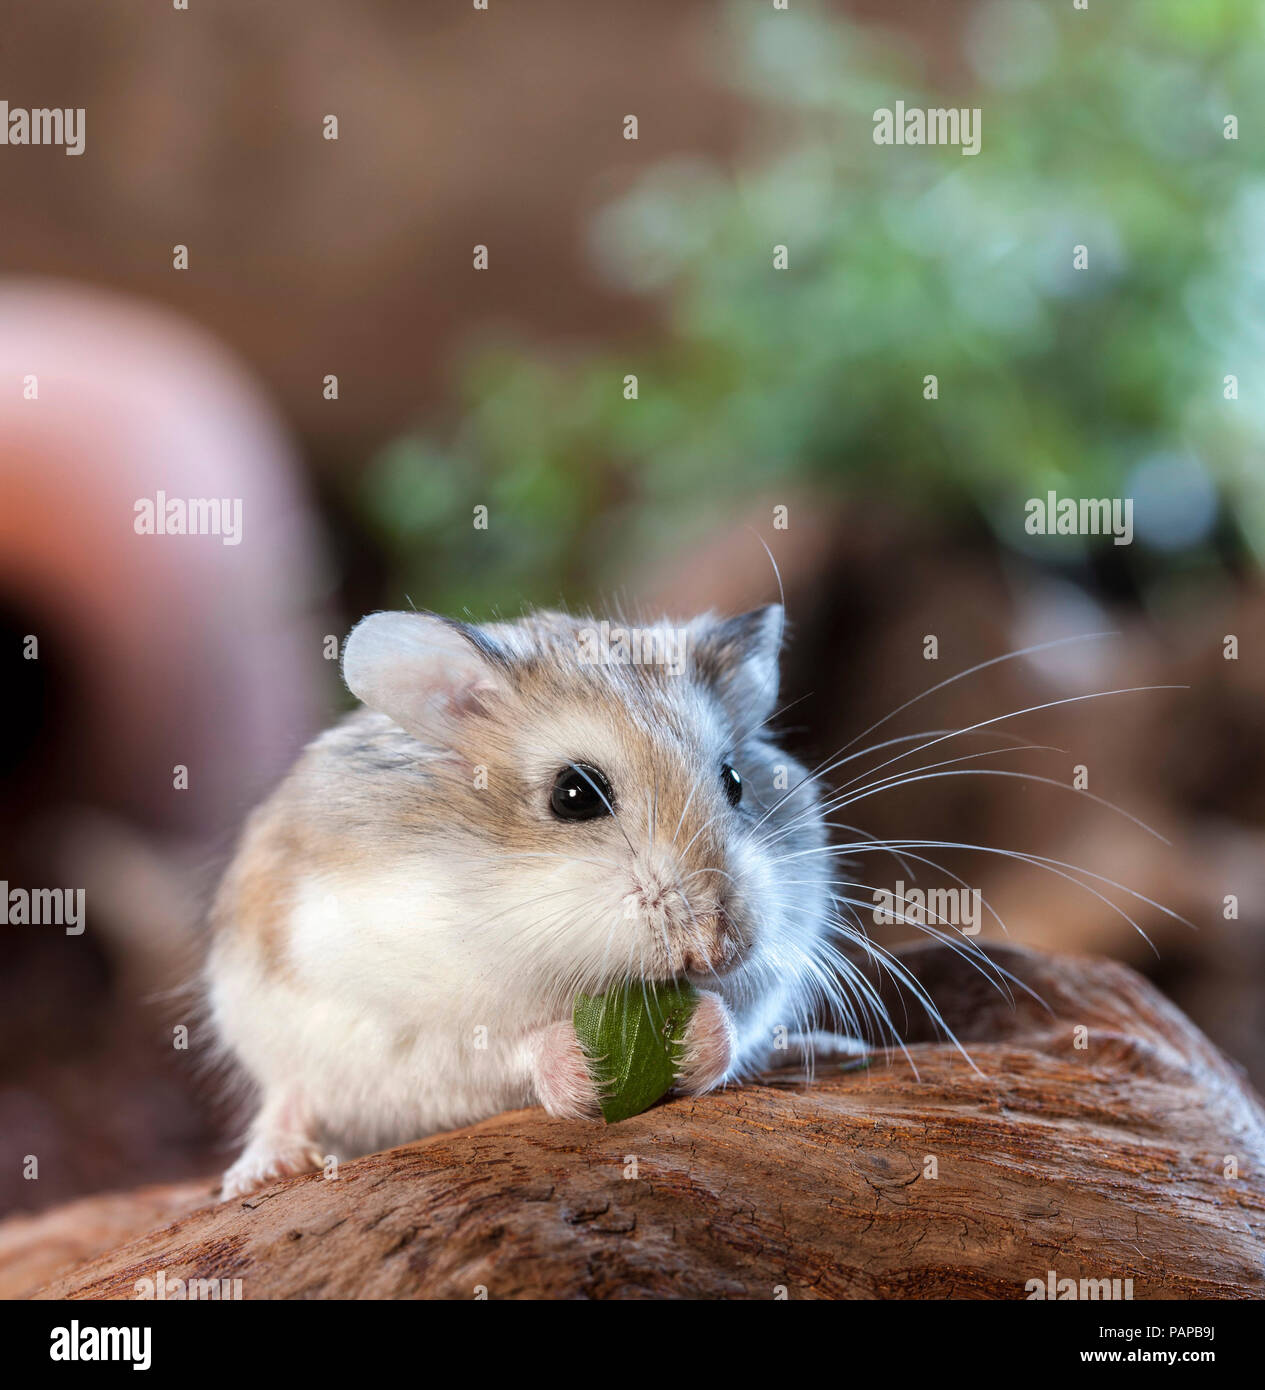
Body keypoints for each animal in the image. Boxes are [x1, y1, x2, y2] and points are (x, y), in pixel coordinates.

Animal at [208, 603, 839, 1200]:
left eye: (734, 781)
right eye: (575, 794)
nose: (717, 949)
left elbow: (736, 1021)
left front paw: (701, 1031)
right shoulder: (391, 1014)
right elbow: (497, 1047)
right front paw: (580, 1066)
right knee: (288, 1095)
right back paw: (260, 1171)